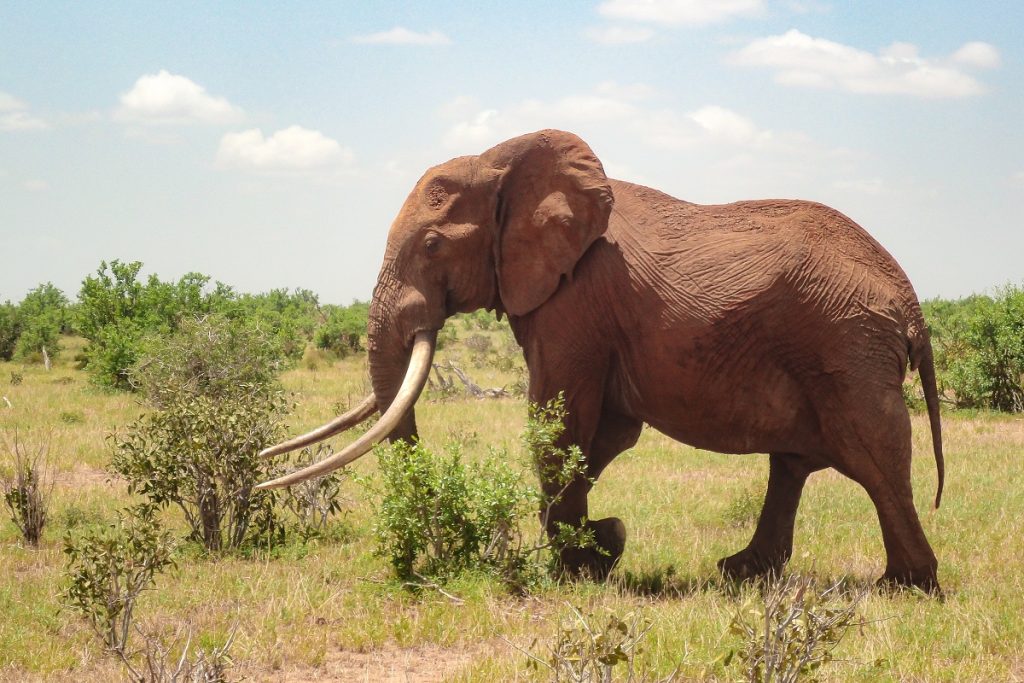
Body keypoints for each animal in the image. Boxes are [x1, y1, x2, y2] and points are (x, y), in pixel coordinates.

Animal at [260, 127, 946, 593]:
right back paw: (741, 573)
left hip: (847, 345)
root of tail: (909, 301)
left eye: (431, 245)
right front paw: (602, 550)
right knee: (796, 463)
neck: (502, 160)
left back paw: (905, 587)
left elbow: (558, 422)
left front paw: (581, 566)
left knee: (873, 457)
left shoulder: (575, 303)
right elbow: (606, 434)